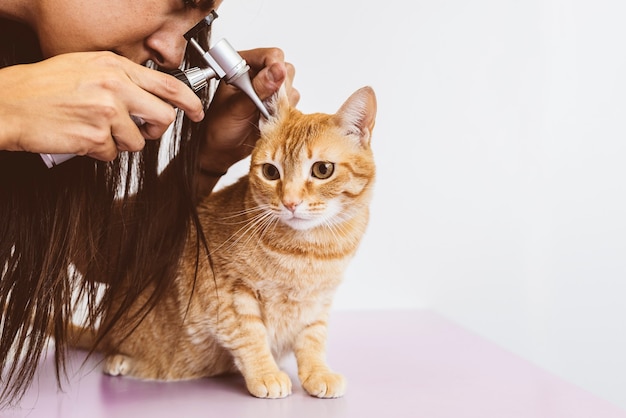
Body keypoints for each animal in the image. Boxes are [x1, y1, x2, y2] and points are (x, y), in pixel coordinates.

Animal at [80, 84, 378, 398]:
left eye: (322, 170)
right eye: (271, 172)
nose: (290, 202)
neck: (308, 251)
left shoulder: (319, 301)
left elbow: (312, 338)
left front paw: (317, 372)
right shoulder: (226, 293)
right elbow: (250, 335)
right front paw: (266, 374)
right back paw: (120, 361)